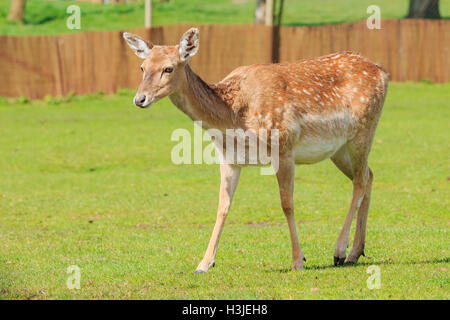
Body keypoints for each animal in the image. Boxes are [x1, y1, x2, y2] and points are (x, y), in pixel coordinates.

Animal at [122, 28, 386, 272]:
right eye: (142, 67)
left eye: (168, 68)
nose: (139, 99)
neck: (233, 117)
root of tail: (383, 72)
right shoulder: (229, 159)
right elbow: (222, 206)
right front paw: (204, 263)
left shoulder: (284, 147)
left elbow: (287, 204)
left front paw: (297, 260)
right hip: (338, 148)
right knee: (369, 175)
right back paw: (355, 252)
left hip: (364, 130)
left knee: (360, 181)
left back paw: (340, 251)